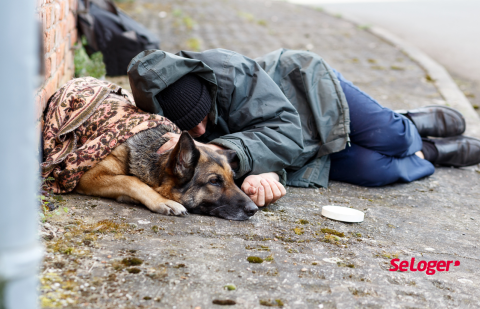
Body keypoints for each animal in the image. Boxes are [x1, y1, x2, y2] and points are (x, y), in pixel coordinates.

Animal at [76, 125, 258, 219]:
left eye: (233, 179)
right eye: (214, 181)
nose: (254, 209)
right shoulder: (88, 176)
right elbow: (129, 180)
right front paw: (162, 201)